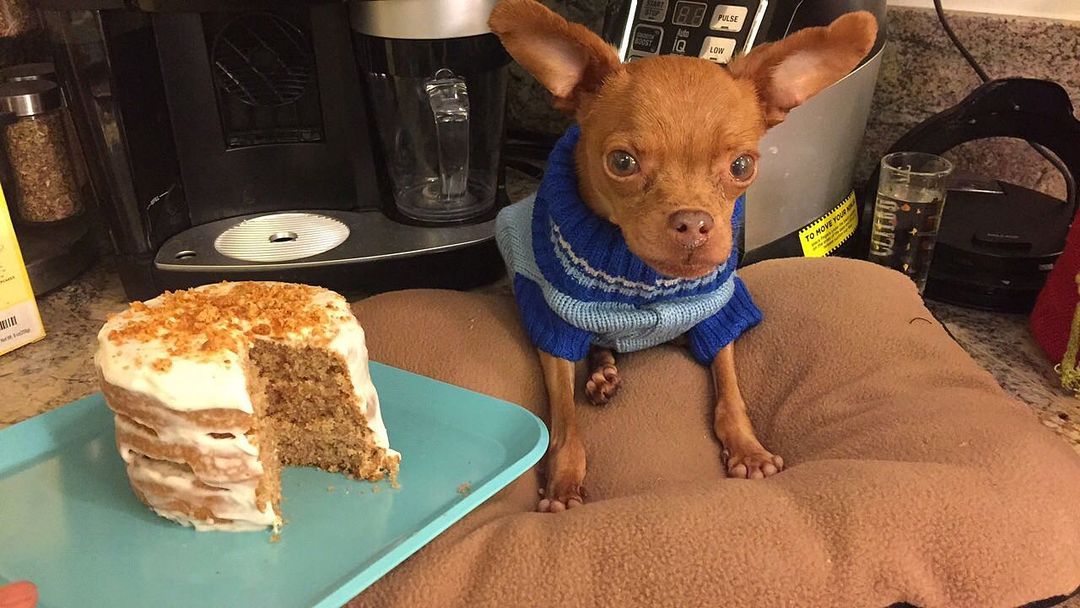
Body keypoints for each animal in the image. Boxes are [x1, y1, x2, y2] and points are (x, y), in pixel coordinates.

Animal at [490, 0, 876, 514]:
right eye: (622, 163)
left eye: (742, 166)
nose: (693, 223)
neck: (642, 279)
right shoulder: (555, 329)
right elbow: (565, 421)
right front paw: (562, 484)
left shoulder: (719, 313)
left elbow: (730, 391)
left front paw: (748, 449)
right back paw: (602, 372)